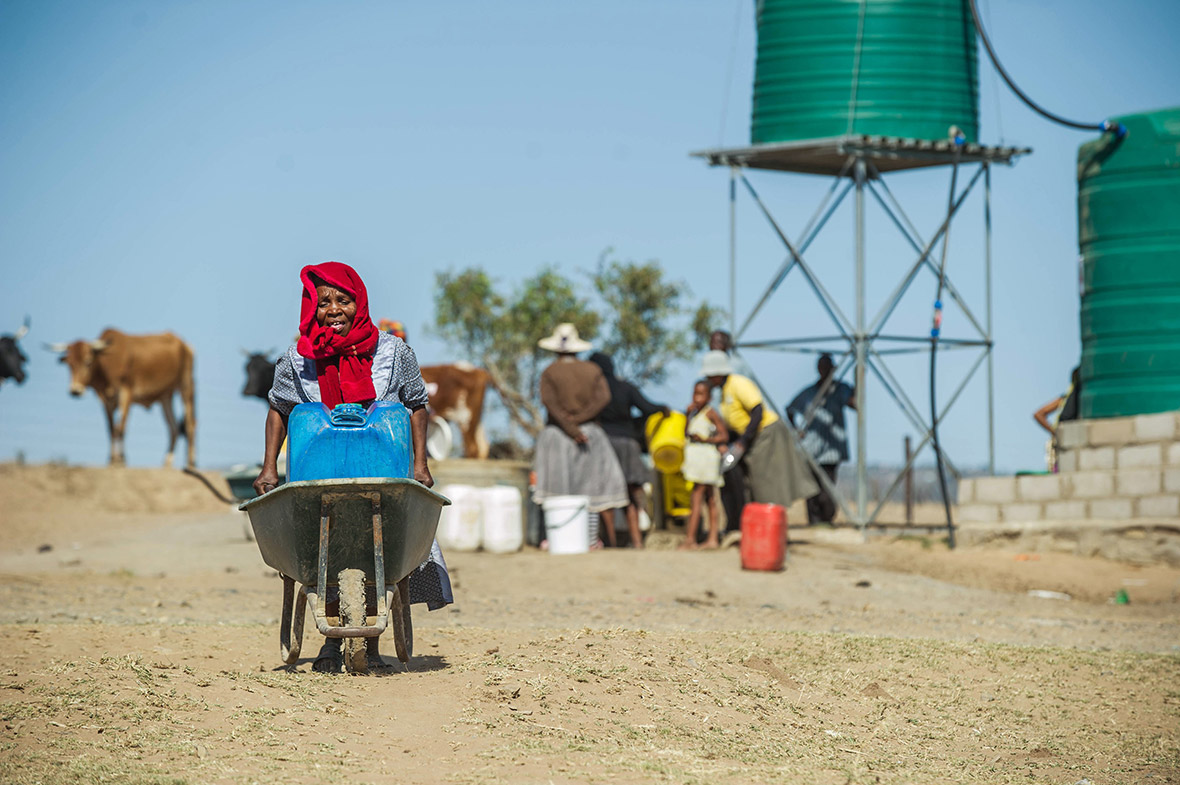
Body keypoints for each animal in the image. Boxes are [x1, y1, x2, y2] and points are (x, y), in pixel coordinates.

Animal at [47, 325, 197, 465]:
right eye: (69, 364)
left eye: (88, 361)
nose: (75, 391)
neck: (108, 362)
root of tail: (185, 344)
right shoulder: (106, 401)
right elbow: (111, 429)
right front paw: (112, 460)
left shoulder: (126, 394)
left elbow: (121, 428)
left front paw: (122, 460)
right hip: (165, 396)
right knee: (174, 428)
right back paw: (166, 463)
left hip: (185, 387)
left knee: (190, 424)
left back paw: (190, 463)